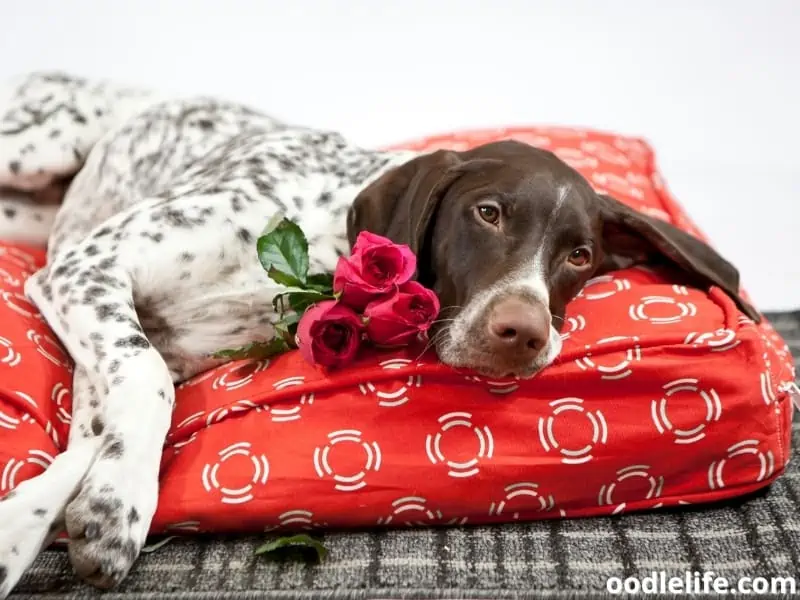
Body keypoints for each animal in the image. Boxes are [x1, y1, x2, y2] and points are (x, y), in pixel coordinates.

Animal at [0, 74, 760, 596]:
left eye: (579, 256)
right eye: (488, 213)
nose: (522, 332)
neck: (322, 238)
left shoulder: (115, 325)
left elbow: (94, 435)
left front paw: (67, 511)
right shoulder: (88, 267)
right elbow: (144, 384)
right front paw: (114, 504)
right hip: (36, 148)